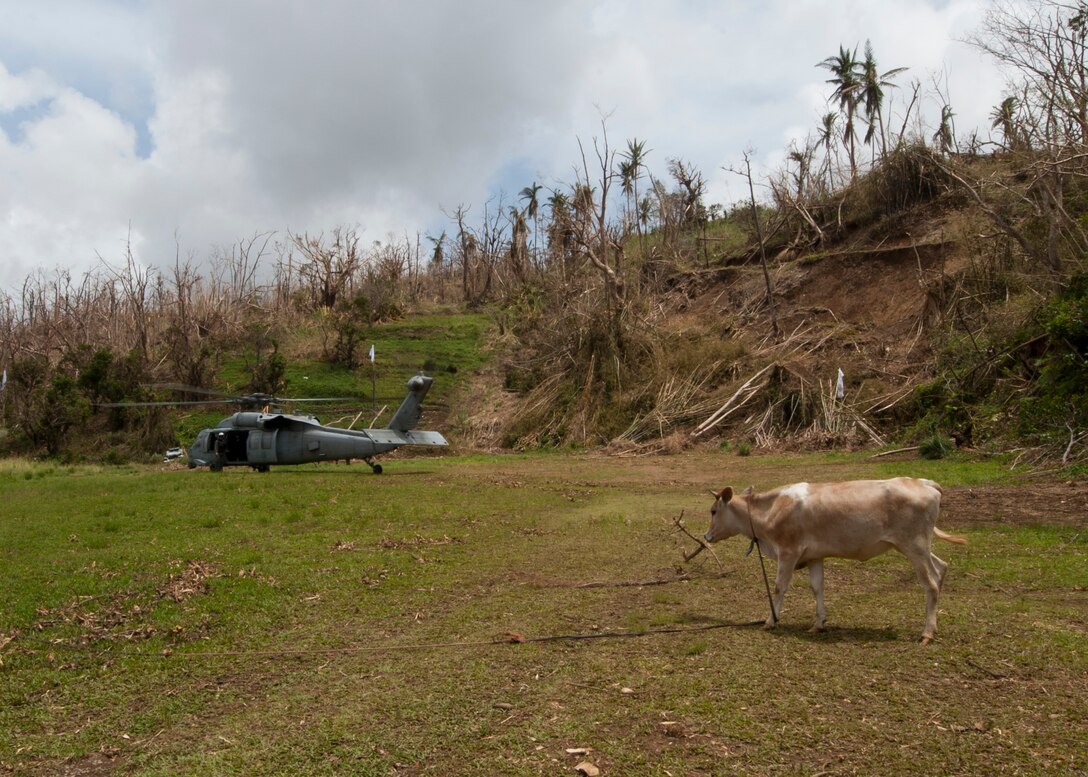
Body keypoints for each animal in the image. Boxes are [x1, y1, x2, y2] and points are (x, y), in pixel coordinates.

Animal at [705, 474, 970, 644]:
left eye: (713, 511)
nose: (707, 536)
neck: (772, 510)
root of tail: (924, 483)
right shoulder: (814, 556)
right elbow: (817, 588)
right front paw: (818, 624)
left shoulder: (788, 551)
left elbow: (779, 587)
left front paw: (771, 620)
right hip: (919, 546)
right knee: (941, 568)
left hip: (914, 545)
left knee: (930, 584)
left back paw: (927, 633)